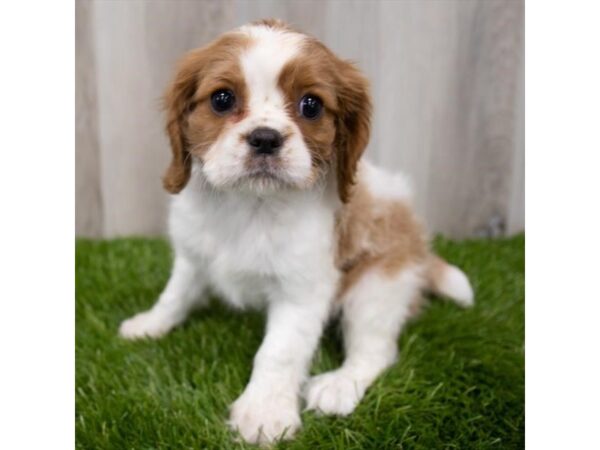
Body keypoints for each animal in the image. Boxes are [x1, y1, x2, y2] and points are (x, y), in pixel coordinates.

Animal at [118, 19, 474, 444]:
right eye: (221, 99)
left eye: (311, 105)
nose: (266, 138)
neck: (250, 204)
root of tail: (419, 247)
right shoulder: (193, 256)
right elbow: (174, 296)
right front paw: (149, 324)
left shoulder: (302, 291)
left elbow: (278, 352)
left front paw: (263, 413)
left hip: (378, 287)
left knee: (376, 350)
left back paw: (339, 386)